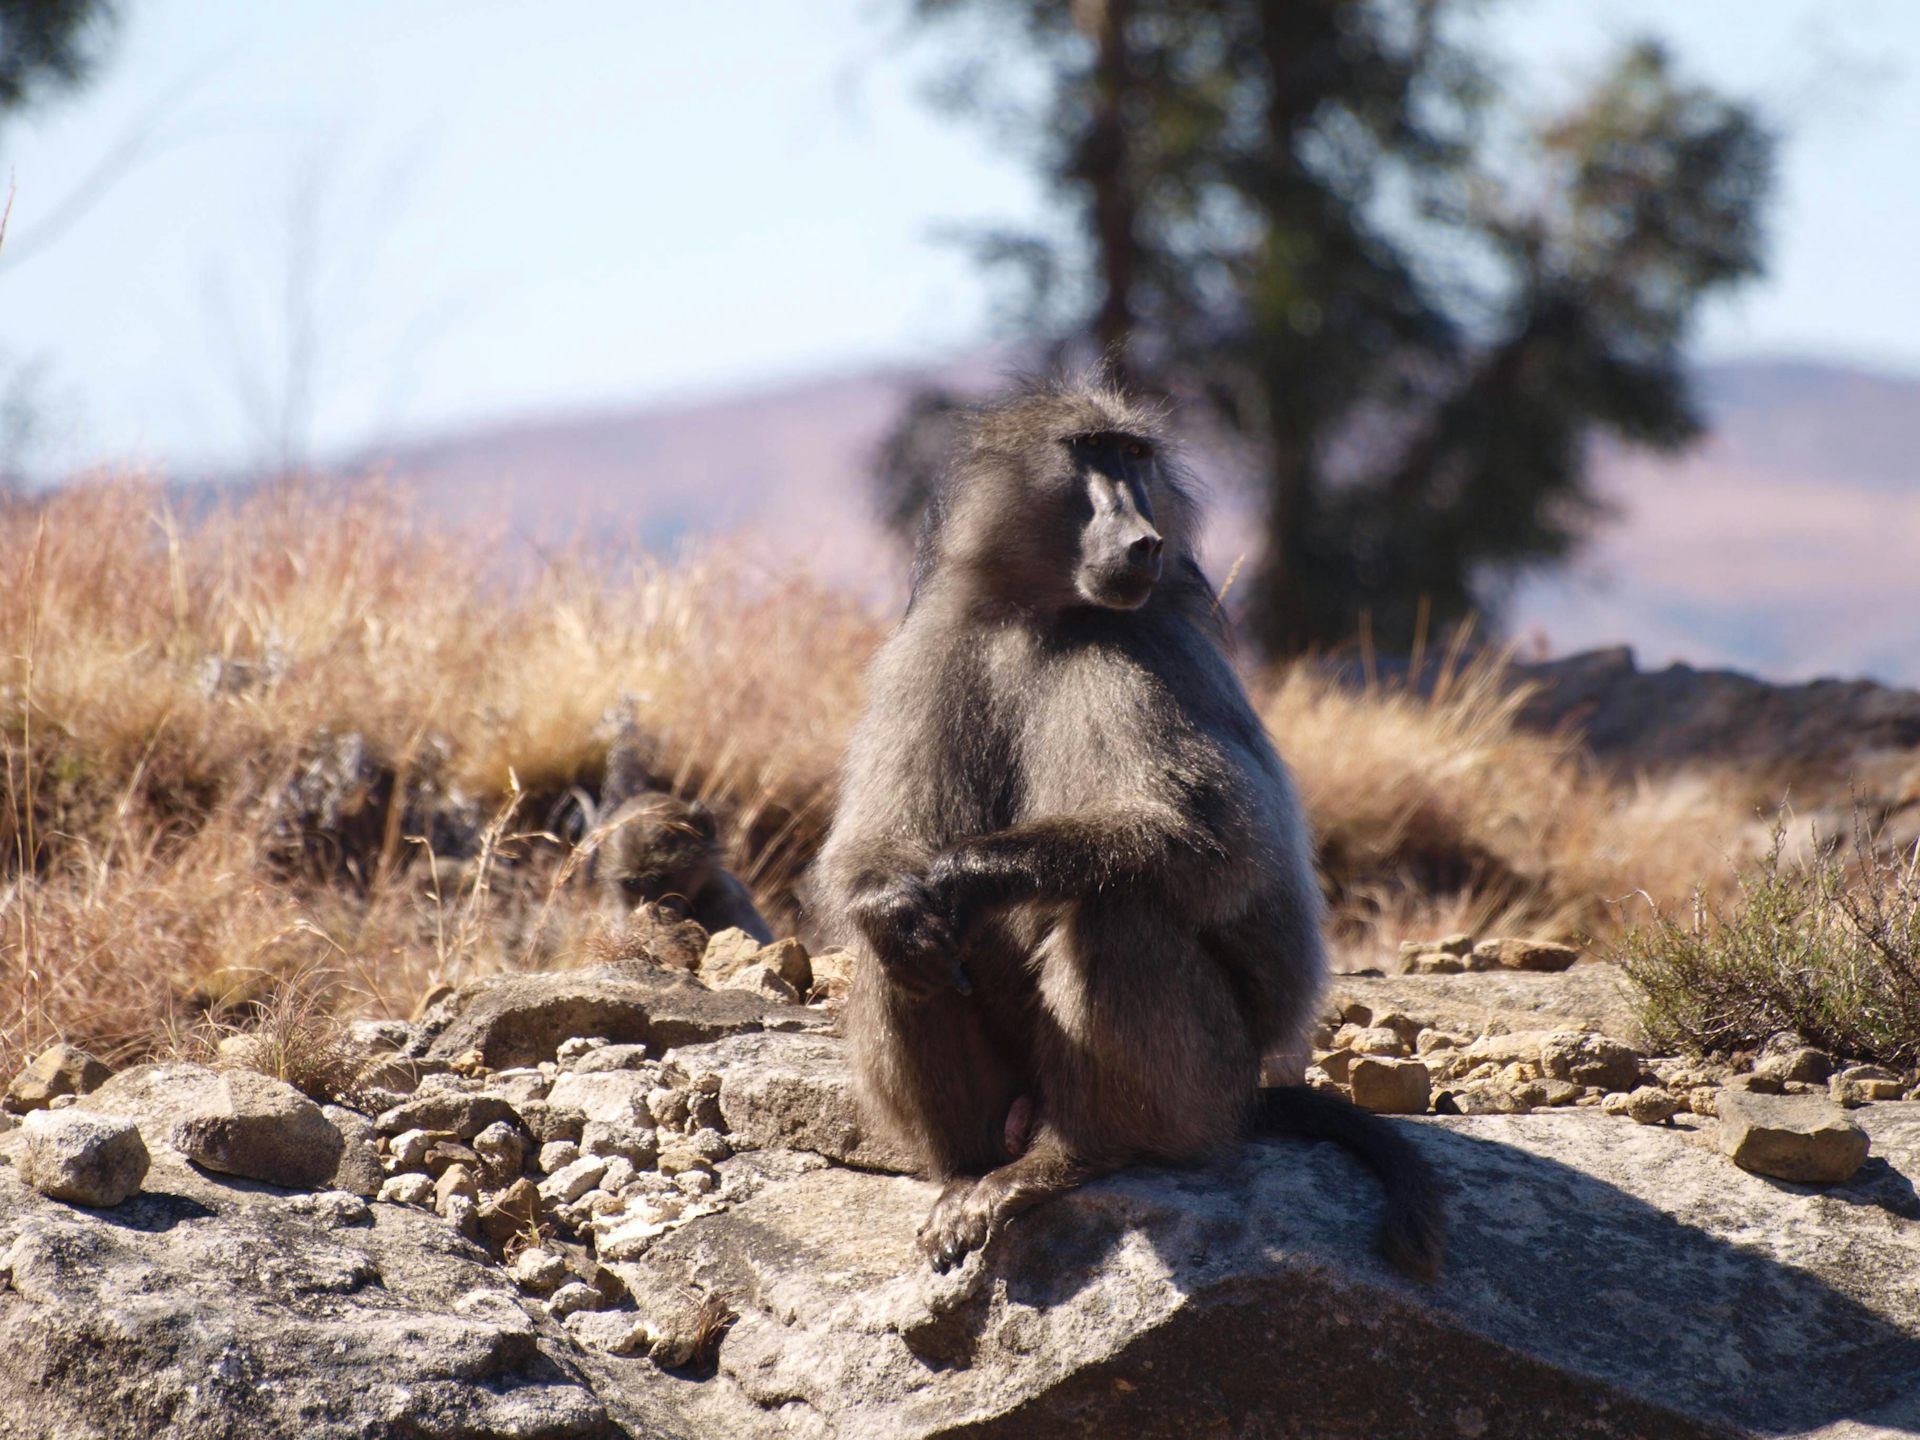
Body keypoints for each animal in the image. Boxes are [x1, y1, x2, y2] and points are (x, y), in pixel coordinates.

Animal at [811, 377, 1444, 1279]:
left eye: (1137, 455)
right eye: (1092, 451)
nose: (1144, 541)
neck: (1044, 615)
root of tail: (1248, 1099)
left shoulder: (1144, 653)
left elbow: (1217, 840)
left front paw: (962, 876)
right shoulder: (926, 651)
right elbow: (877, 849)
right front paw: (903, 896)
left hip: (1206, 1085)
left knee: (1115, 908)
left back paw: (1063, 1160)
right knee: (900, 955)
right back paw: (968, 1168)